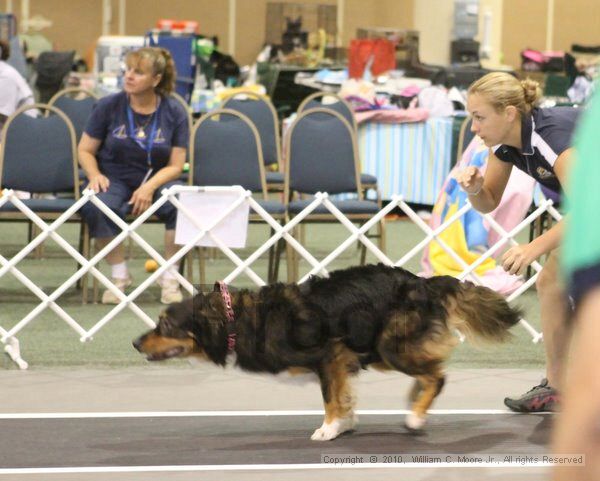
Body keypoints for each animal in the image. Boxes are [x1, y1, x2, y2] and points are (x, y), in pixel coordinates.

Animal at [132, 264, 520, 440]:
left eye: (165, 326)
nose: (135, 343)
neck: (238, 319)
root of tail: (424, 282)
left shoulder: (329, 355)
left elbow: (331, 397)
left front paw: (329, 428)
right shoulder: (344, 360)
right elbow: (344, 395)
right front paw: (345, 424)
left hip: (389, 346)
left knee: (437, 376)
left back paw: (415, 417)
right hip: (377, 349)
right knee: (429, 371)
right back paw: (415, 402)